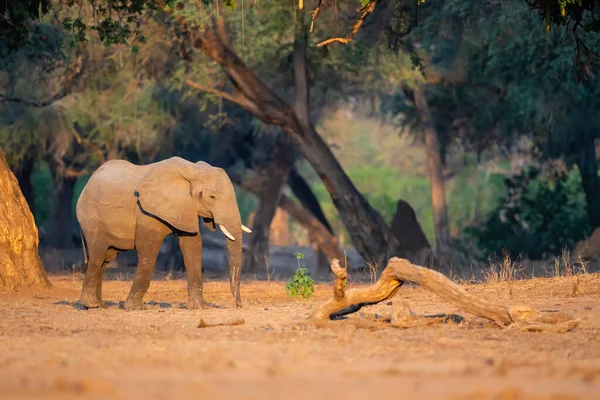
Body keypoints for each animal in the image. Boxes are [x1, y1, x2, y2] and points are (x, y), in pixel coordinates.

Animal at [75, 156, 251, 310]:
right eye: (212, 197)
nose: (238, 305)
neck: (192, 169)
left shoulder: (185, 207)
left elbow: (192, 246)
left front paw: (200, 307)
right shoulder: (147, 210)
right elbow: (148, 248)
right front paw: (135, 308)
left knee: (106, 258)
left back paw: (101, 305)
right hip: (90, 217)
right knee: (98, 255)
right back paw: (91, 305)